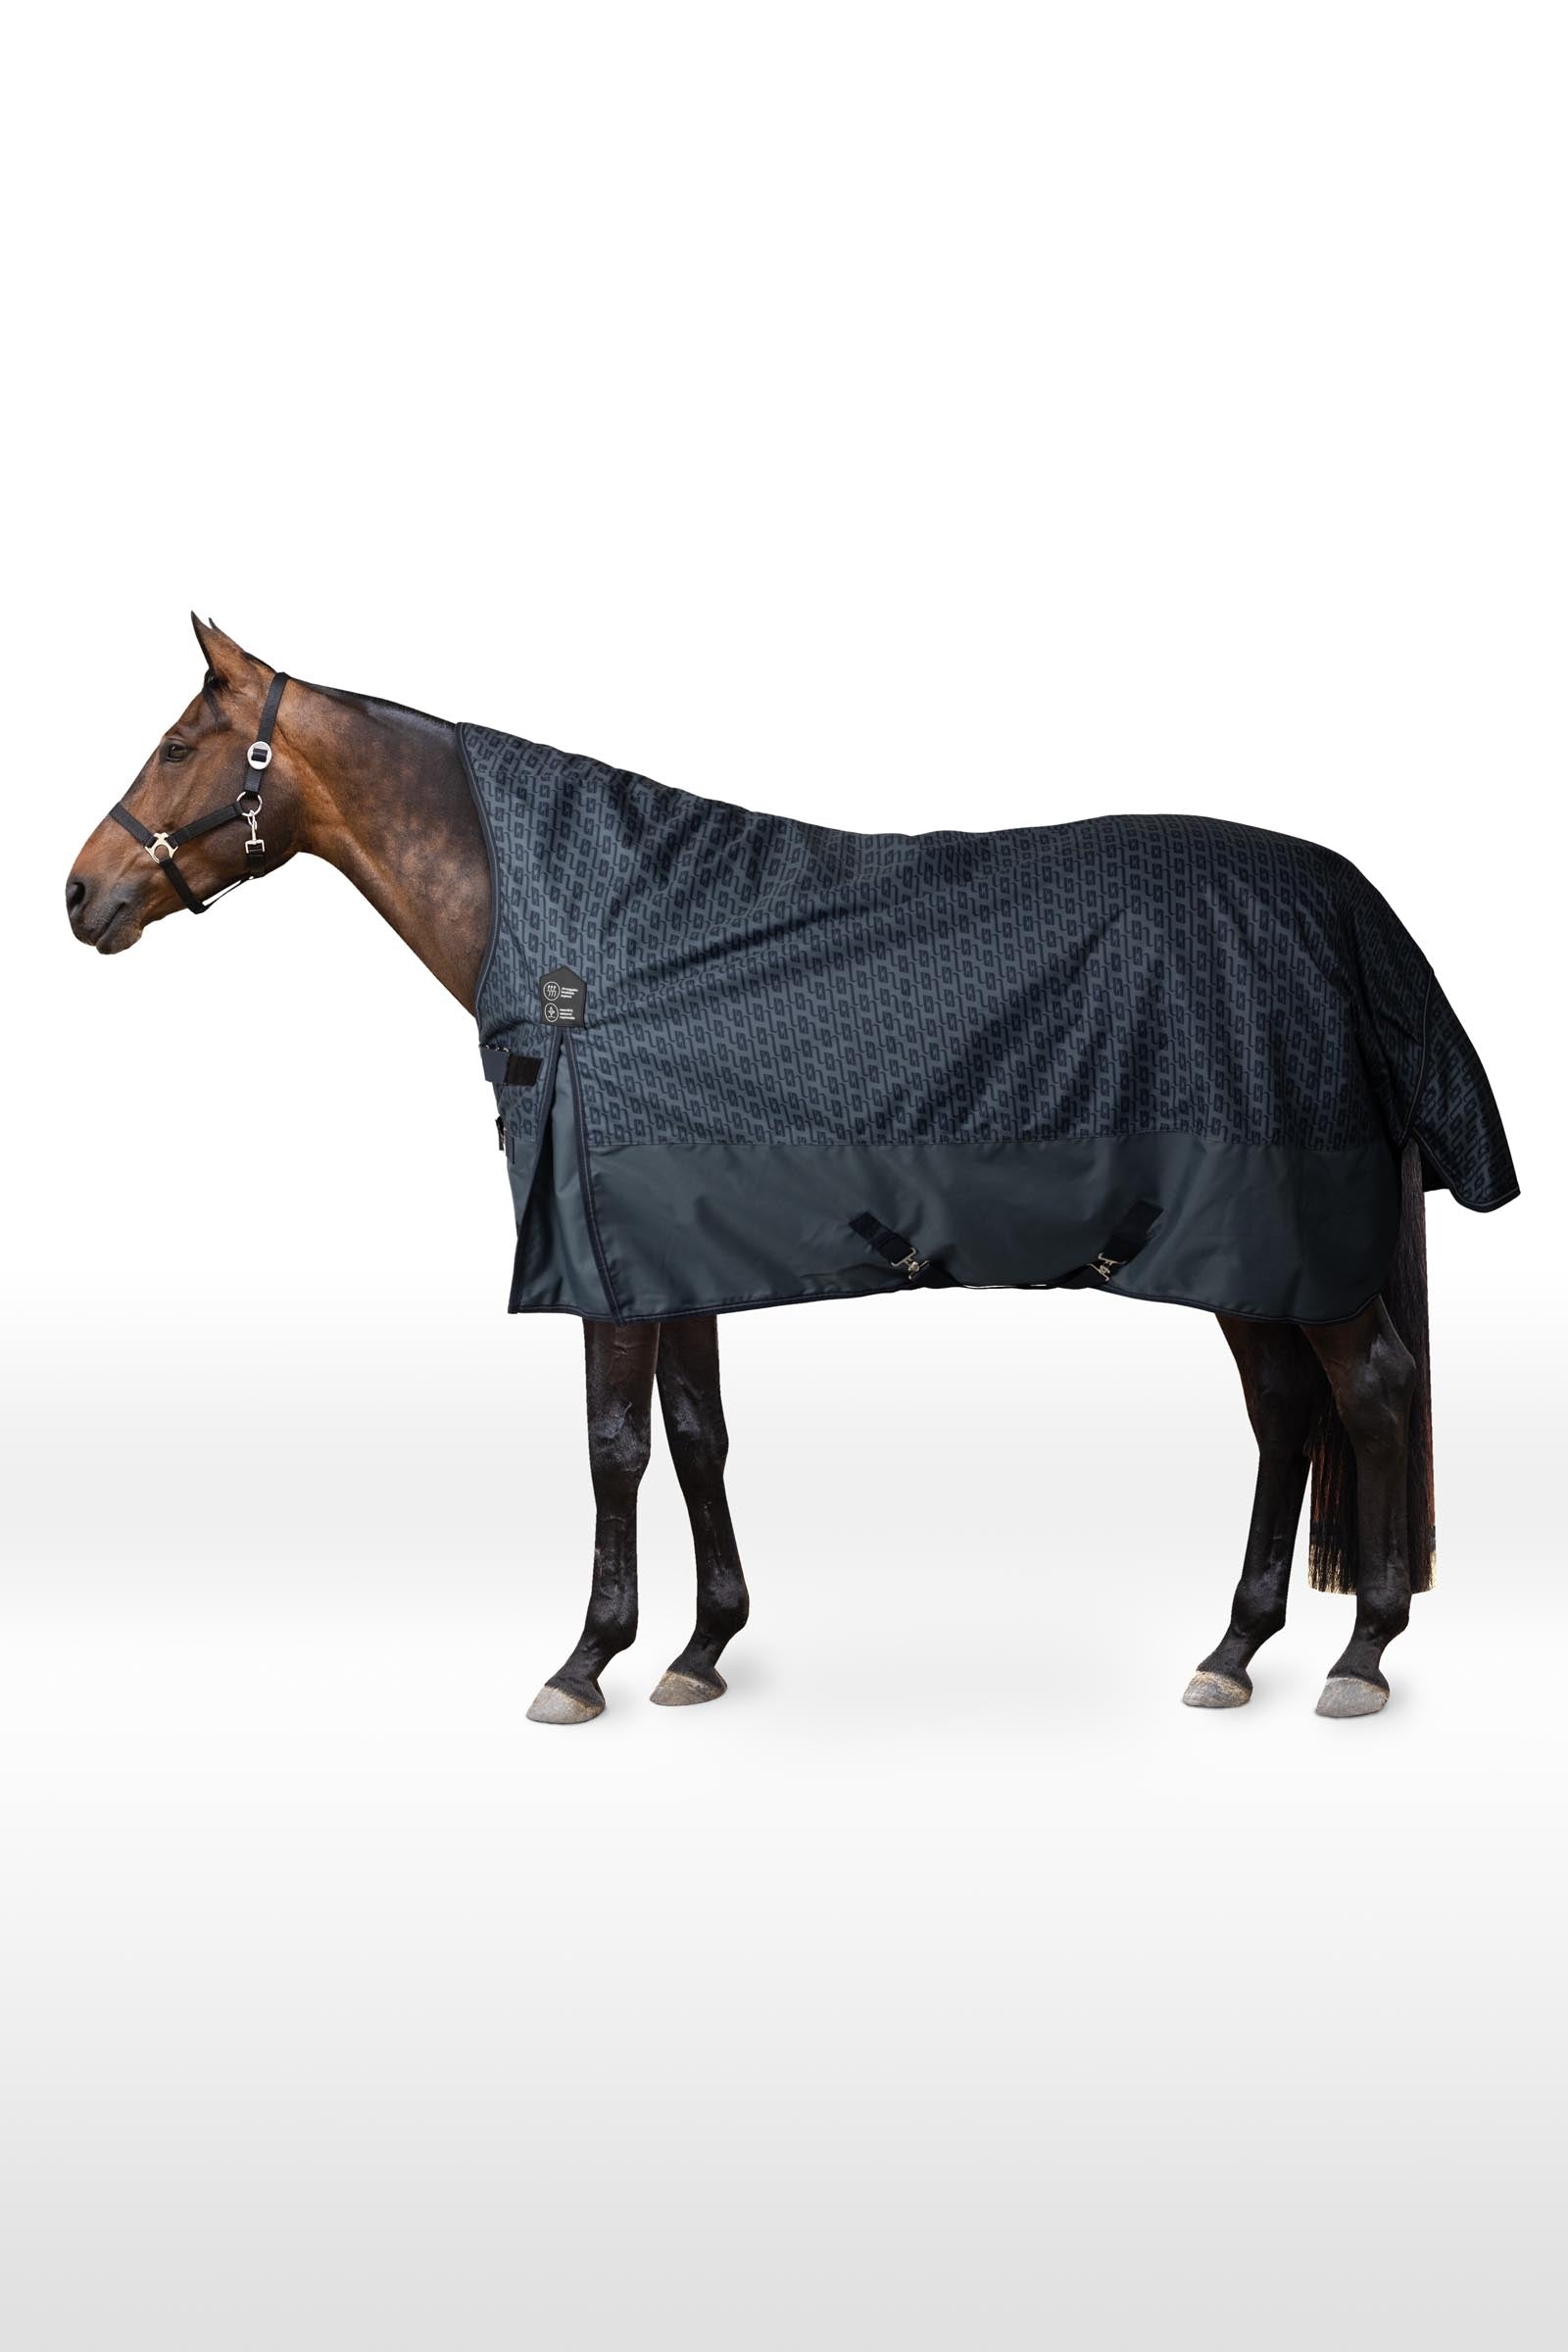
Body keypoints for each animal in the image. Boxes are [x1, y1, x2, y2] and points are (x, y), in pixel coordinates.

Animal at [65, 618, 1517, 1724]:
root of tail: (1358, 914)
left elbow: (611, 1449)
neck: (590, 950)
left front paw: (584, 1664)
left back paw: (1361, 1653)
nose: (80, 895)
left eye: (181, 743)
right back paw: (1235, 1650)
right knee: (1285, 1412)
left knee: (1370, 1393)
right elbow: (696, 1435)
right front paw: (702, 1649)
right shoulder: (671, 1248)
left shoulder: (601, 1266)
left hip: (1287, 1235)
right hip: (1239, 1250)